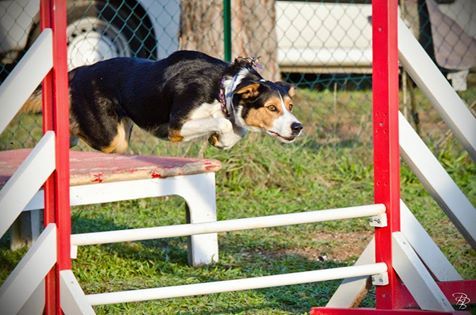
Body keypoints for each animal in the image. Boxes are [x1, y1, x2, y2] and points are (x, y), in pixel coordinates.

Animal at [26, 49, 304, 153]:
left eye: (290, 107)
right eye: (271, 108)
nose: (297, 127)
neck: (222, 88)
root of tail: (78, 71)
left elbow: (236, 129)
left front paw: (223, 140)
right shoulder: (177, 126)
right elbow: (223, 122)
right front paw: (223, 133)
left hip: (119, 136)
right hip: (110, 137)